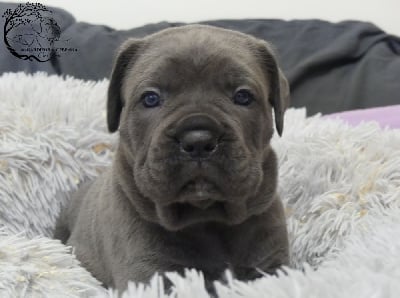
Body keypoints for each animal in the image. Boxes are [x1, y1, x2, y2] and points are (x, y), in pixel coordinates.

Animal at [54, 24, 290, 292]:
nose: (198, 140)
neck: (206, 217)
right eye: (151, 98)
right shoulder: (150, 274)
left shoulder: (271, 265)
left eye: (243, 96)